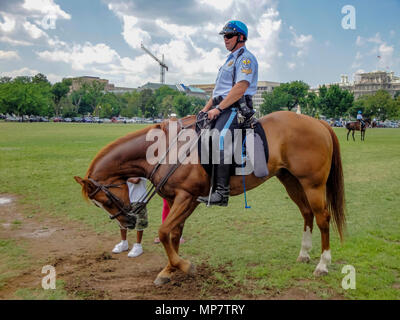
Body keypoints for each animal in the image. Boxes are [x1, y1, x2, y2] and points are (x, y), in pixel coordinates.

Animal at [76, 112, 346, 284]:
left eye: (104, 200)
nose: (128, 222)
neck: (166, 148)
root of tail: (319, 122)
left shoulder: (187, 197)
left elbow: (164, 232)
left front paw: (183, 266)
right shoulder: (177, 199)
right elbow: (173, 234)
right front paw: (169, 270)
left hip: (312, 184)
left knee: (322, 218)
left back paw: (323, 264)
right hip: (290, 180)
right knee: (307, 213)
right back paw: (304, 254)